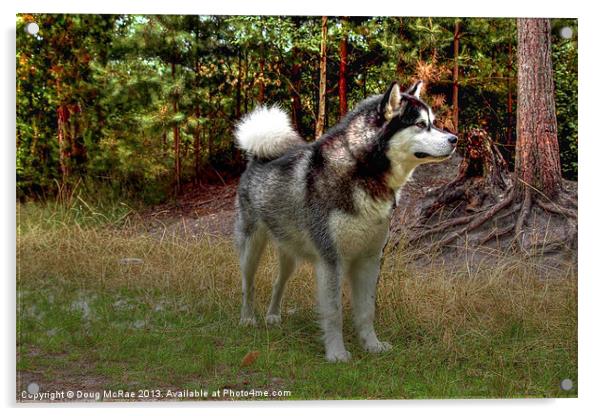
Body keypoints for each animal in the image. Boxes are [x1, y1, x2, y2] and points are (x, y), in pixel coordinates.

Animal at [232, 80, 452, 360]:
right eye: (421, 124)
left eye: (433, 122)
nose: (455, 139)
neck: (363, 169)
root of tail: (257, 155)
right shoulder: (331, 260)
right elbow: (334, 312)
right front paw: (337, 354)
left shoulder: (369, 259)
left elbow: (367, 311)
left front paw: (372, 345)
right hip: (251, 248)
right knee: (247, 285)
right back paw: (247, 318)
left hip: (290, 255)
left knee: (277, 283)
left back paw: (272, 316)